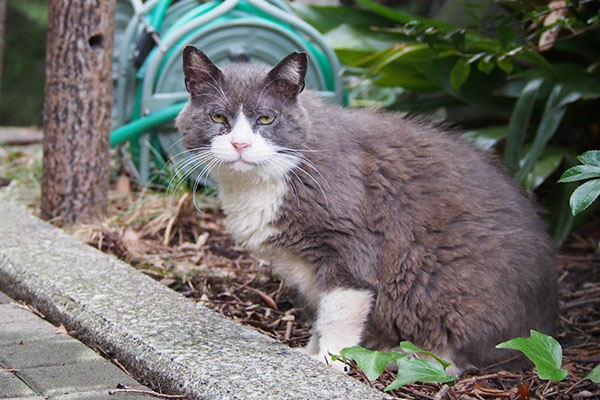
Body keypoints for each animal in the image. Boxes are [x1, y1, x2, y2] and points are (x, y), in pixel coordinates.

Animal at [177, 46, 556, 372]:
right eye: (217, 116)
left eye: (266, 119)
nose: (240, 144)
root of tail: (544, 320)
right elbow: (321, 312)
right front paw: (308, 352)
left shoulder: (351, 246)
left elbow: (337, 313)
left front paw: (328, 362)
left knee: (457, 356)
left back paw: (403, 358)